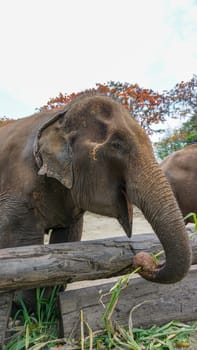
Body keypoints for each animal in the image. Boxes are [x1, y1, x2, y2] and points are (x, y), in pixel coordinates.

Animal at [0, 93, 191, 288]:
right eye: (116, 145)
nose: (142, 258)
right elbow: (24, 248)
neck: (59, 115)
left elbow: (65, 240)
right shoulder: (17, 197)